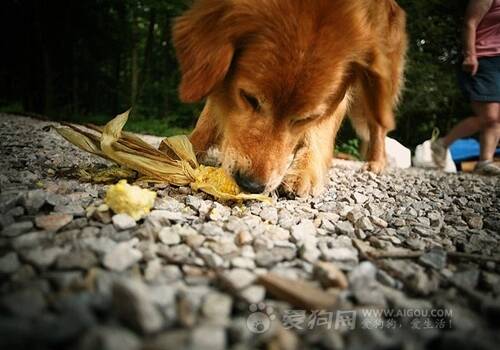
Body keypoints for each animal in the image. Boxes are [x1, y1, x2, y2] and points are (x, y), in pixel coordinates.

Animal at [172, 0, 406, 197]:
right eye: (249, 99)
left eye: (304, 119)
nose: (251, 185)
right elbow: (210, 114)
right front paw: (187, 146)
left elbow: (319, 131)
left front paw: (303, 171)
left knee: (378, 125)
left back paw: (375, 163)